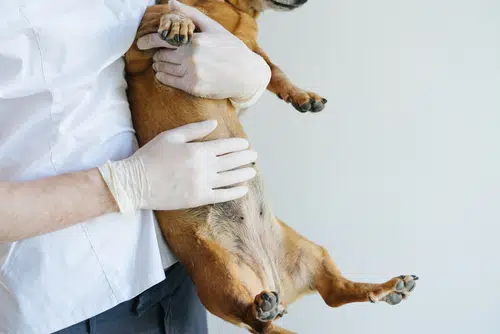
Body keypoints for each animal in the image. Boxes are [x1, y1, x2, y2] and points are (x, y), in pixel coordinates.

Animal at [125, 1, 418, 332]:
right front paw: (177, 22)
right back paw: (263, 309)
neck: (233, 10)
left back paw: (387, 288)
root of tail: (271, 279)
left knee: (333, 292)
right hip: (217, 272)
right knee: (256, 320)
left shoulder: (249, 51)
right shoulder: (136, 57)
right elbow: (161, 14)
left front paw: (301, 95)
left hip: (312, 252)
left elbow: (271, 68)